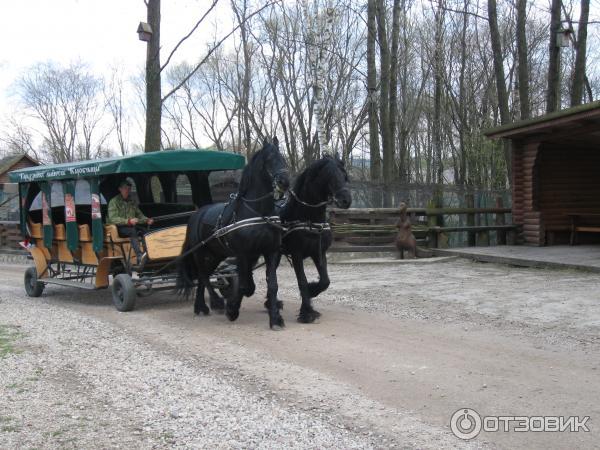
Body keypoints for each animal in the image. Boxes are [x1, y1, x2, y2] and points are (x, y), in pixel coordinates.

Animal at [177, 139, 290, 328]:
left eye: (282, 158)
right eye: (269, 159)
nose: (284, 181)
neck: (258, 212)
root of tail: (196, 214)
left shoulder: (270, 251)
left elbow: (272, 285)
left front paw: (275, 318)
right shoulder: (243, 253)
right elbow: (246, 286)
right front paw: (232, 309)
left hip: (215, 255)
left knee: (203, 276)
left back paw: (201, 307)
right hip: (200, 253)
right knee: (203, 275)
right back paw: (215, 303)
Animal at [276, 155, 352, 324]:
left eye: (345, 176)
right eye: (330, 176)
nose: (346, 200)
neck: (308, 217)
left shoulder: (319, 252)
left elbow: (325, 281)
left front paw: (312, 292)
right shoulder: (296, 254)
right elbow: (302, 281)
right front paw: (307, 312)